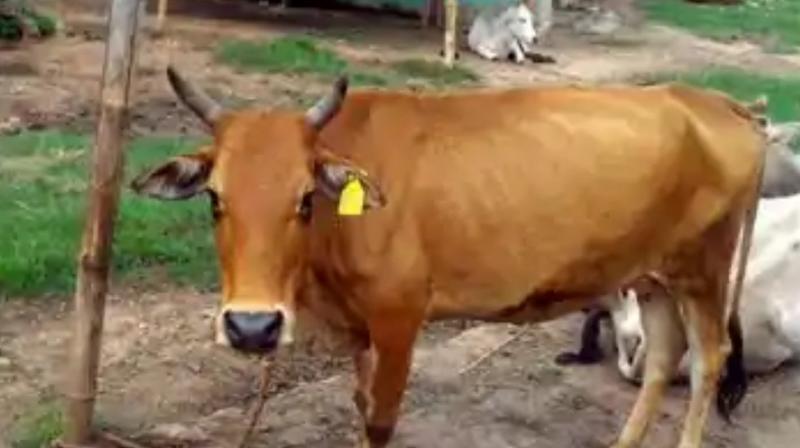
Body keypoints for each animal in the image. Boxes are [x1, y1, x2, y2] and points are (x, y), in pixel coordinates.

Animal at [131, 66, 765, 448]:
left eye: (306, 199)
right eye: (215, 198)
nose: (252, 327)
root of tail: (719, 103)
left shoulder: (399, 320)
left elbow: (380, 420)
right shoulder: (359, 329)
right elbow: (358, 405)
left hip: (705, 270)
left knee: (708, 359)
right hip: (653, 275)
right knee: (662, 358)